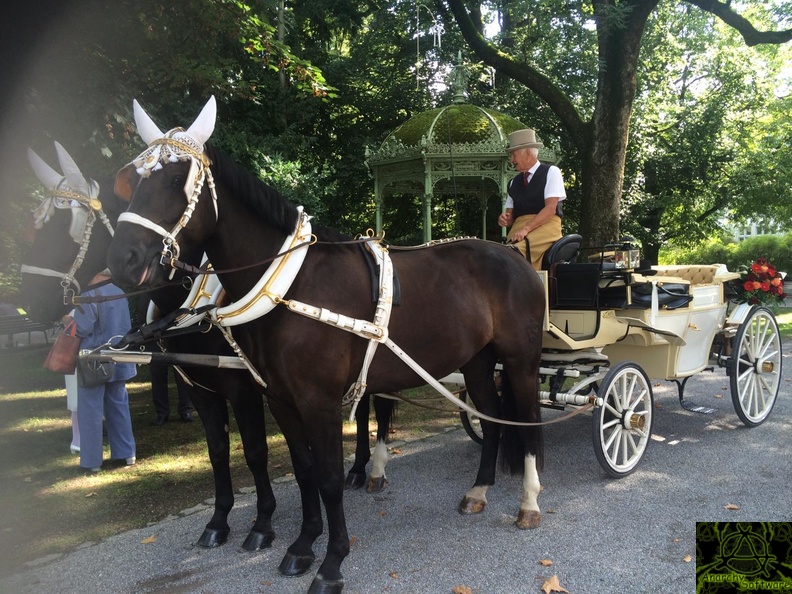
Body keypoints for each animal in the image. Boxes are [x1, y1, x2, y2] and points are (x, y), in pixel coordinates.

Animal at [108, 97, 548, 592]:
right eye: (132, 181)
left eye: (175, 179)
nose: (123, 260)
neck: (287, 285)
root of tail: (513, 253)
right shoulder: (278, 398)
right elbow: (303, 470)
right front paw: (302, 545)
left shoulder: (314, 400)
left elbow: (330, 477)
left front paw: (331, 563)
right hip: (475, 363)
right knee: (490, 420)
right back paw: (478, 491)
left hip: (521, 361)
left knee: (527, 420)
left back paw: (529, 503)